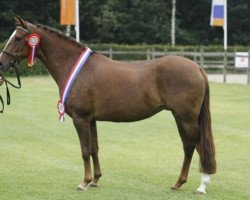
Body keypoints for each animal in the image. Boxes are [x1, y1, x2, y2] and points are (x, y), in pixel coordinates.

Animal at [0, 17, 215, 194]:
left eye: (18, 38)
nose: (2, 64)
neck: (78, 69)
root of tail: (196, 66)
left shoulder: (80, 119)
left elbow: (85, 150)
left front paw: (84, 182)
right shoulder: (91, 120)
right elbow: (94, 148)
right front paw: (95, 180)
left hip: (187, 118)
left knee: (199, 146)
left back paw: (202, 186)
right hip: (179, 117)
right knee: (188, 147)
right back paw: (178, 183)